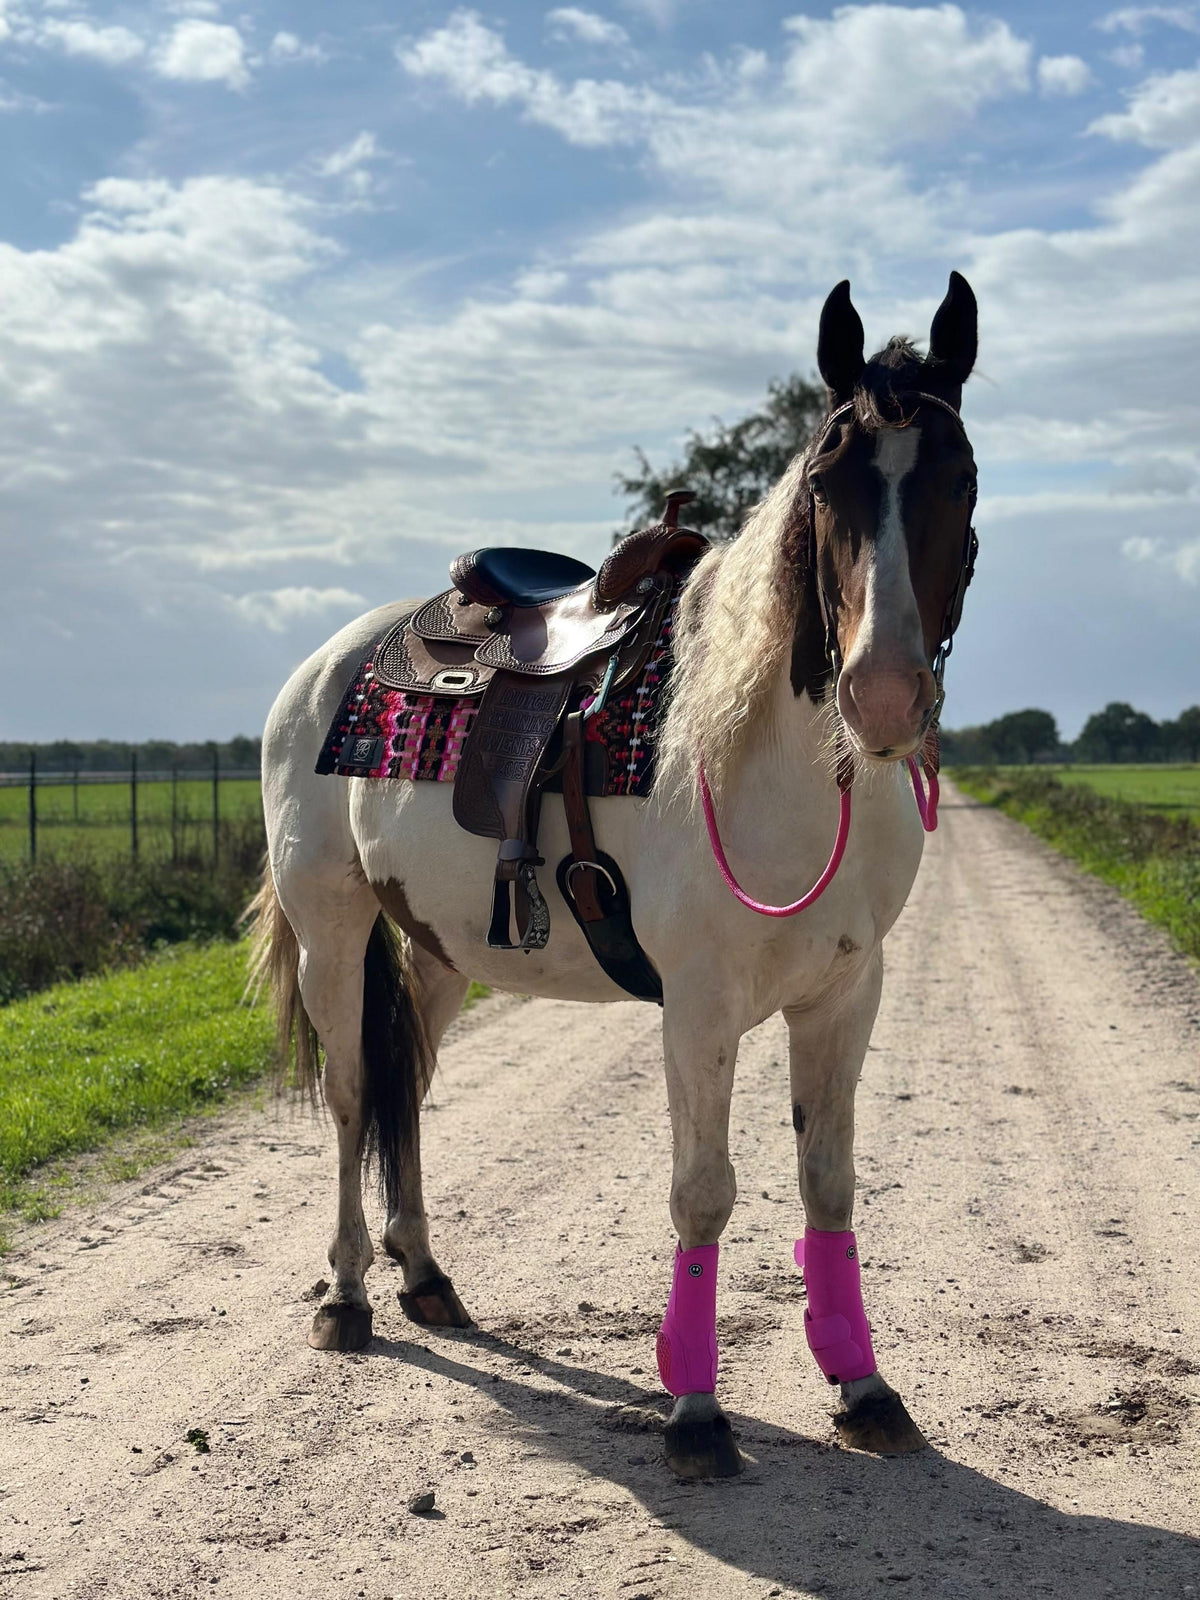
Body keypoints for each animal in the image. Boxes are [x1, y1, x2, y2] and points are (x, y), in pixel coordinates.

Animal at [251, 273, 979, 1480]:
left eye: (960, 477)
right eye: (825, 483)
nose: (880, 695)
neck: (773, 763)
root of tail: (325, 664)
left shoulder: (846, 993)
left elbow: (828, 1182)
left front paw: (865, 1387)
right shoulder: (700, 1005)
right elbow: (704, 1195)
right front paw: (695, 1410)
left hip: (438, 952)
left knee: (412, 1088)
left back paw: (425, 1275)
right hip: (332, 932)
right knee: (356, 1096)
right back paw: (347, 1293)